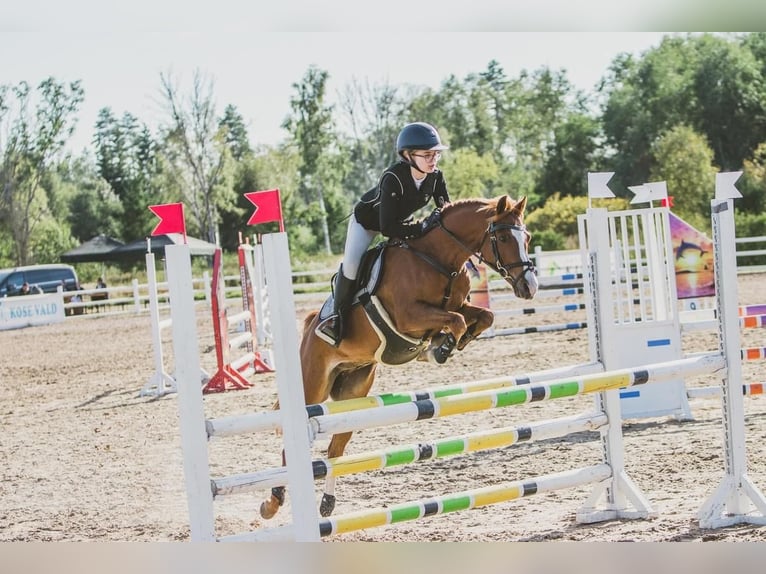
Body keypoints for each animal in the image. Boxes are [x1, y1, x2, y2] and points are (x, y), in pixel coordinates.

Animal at [262, 195, 540, 520]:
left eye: (528, 238)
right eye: (505, 237)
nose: (529, 287)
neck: (439, 260)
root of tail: (308, 329)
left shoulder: (457, 306)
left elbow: (483, 316)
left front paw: (450, 343)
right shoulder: (409, 316)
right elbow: (456, 320)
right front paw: (439, 348)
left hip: (353, 393)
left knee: (335, 450)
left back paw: (327, 503)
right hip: (312, 388)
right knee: (293, 444)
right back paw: (272, 501)